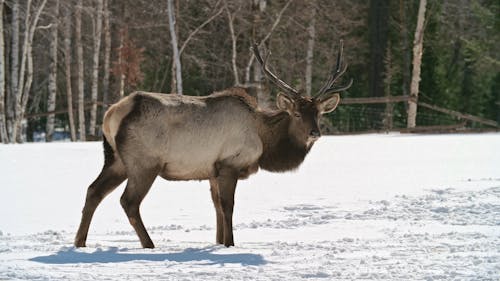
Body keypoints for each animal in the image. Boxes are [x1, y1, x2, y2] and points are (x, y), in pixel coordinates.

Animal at [74, 40, 352, 247]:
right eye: (296, 114)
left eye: (318, 113)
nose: (315, 132)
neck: (264, 141)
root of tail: (111, 114)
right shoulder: (229, 163)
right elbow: (228, 206)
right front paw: (230, 243)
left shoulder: (211, 170)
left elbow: (216, 205)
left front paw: (218, 241)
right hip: (144, 162)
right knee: (128, 201)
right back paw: (149, 244)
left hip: (116, 160)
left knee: (93, 190)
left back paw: (80, 242)